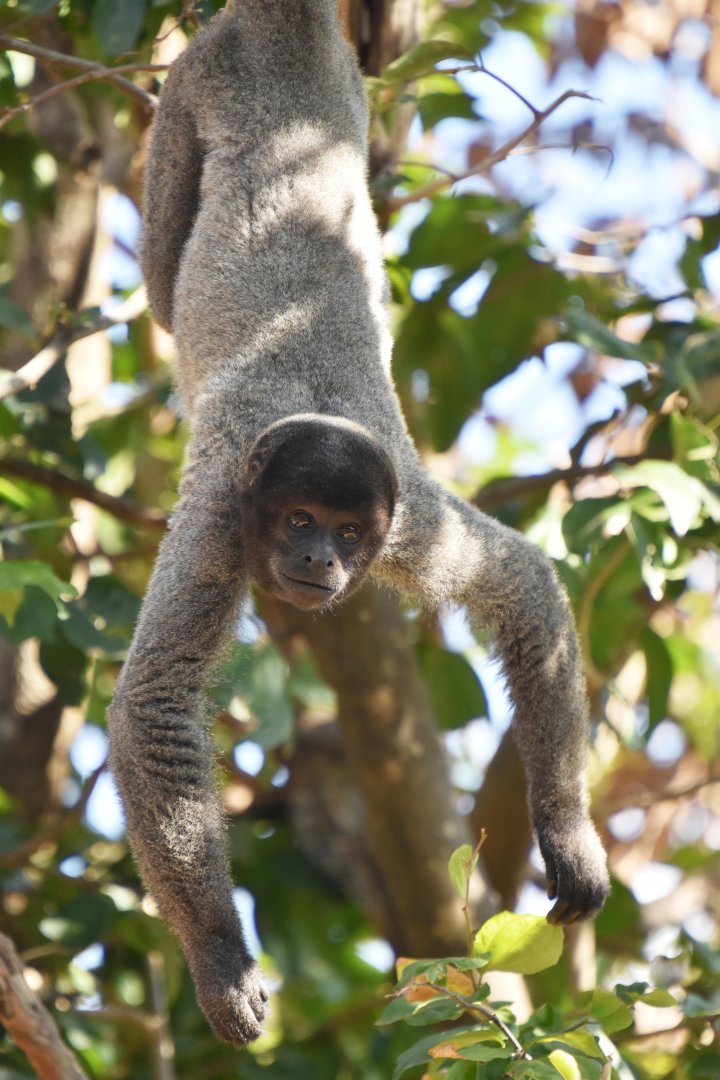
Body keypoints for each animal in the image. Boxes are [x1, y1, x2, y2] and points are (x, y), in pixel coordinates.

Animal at [108, 0, 610, 1048]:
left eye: (344, 534)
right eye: (299, 517)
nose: (315, 560)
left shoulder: (405, 518)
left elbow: (526, 587)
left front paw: (569, 836)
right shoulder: (223, 514)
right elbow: (157, 704)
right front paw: (221, 962)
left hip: (341, 88)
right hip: (194, 81)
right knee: (163, 271)